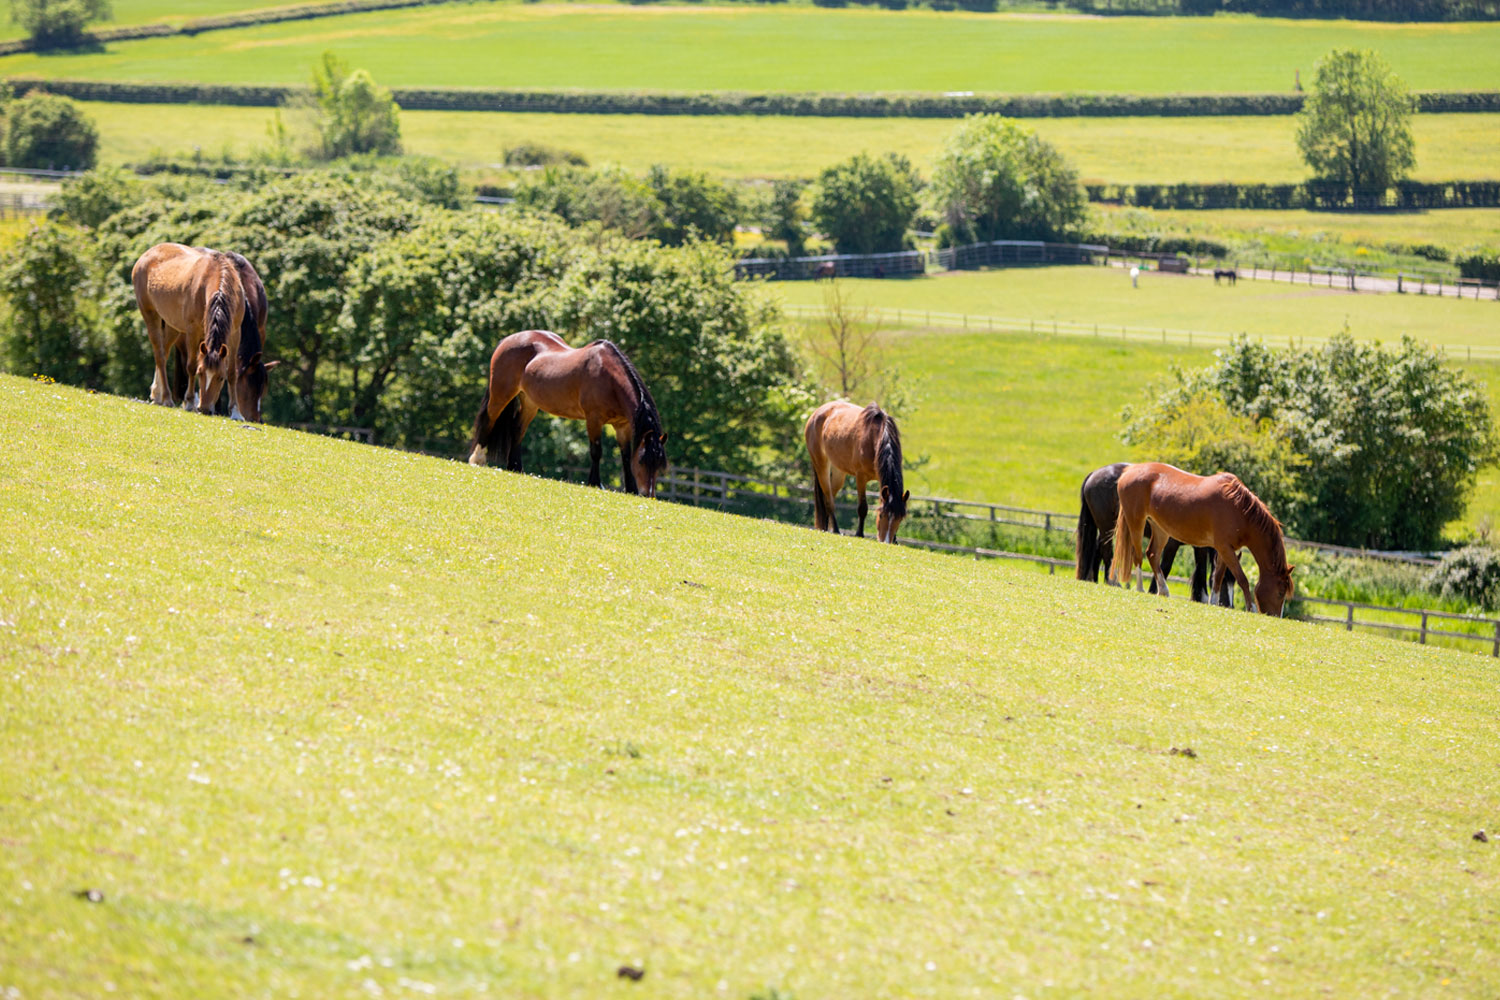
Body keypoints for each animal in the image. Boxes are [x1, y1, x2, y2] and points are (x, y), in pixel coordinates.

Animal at [133, 244, 265, 419]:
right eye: (201, 373)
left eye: (220, 378)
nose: (205, 409)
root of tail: (147, 254)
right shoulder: (192, 331)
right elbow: (190, 366)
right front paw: (189, 402)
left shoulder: (235, 334)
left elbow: (232, 372)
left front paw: (236, 411)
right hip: (151, 315)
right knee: (160, 356)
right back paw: (167, 398)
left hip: (172, 325)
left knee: (165, 351)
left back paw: (157, 395)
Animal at [468, 329, 669, 497]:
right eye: (642, 461)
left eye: (659, 463)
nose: (648, 494)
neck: (610, 379)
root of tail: (507, 340)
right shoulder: (593, 419)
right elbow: (596, 451)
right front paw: (596, 483)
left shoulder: (622, 426)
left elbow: (626, 456)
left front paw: (631, 489)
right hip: (501, 394)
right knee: (489, 420)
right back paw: (478, 459)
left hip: (530, 403)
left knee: (517, 429)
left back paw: (516, 467)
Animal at [804, 398, 906, 542]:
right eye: (881, 515)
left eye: (900, 518)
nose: (885, 541)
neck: (875, 439)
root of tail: (816, 413)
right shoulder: (861, 477)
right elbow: (862, 508)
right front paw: (859, 533)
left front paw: (895, 540)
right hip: (821, 465)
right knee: (829, 500)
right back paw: (835, 530)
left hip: (839, 471)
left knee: (828, 497)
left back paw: (826, 527)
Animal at [1074, 461, 1236, 602]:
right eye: (1225, 581)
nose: (1229, 605)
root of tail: (1094, 473)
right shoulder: (1172, 544)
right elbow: (1165, 566)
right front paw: (1155, 590)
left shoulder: (1200, 547)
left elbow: (1201, 570)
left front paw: (1201, 598)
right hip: (1107, 527)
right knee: (1107, 552)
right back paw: (1113, 582)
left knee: (1097, 551)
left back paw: (1094, 580)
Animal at [1110, 464, 1296, 617]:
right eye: (1280, 592)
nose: (1275, 616)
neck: (1240, 510)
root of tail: (1129, 471)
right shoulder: (1225, 548)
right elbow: (1242, 578)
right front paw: (1251, 608)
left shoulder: (1225, 550)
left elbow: (1217, 577)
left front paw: (1213, 602)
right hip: (1136, 522)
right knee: (1138, 556)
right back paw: (1140, 588)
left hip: (1160, 529)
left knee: (1152, 555)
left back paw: (1163, 590)